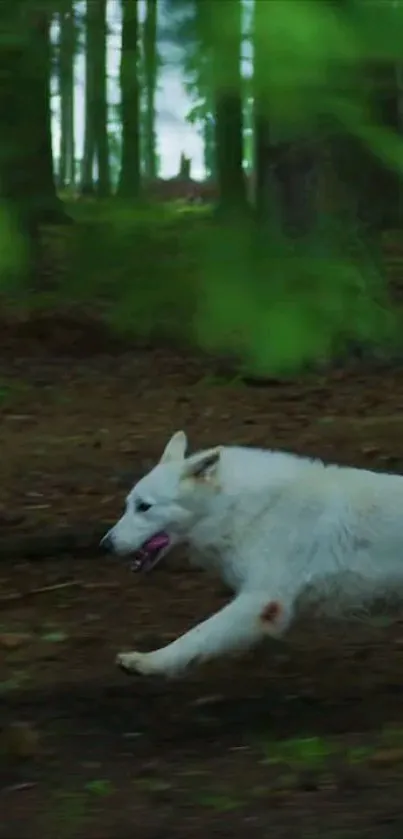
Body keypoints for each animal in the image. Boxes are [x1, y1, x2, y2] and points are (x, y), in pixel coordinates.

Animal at [102, 430, 403, 680]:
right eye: (128, 505)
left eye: (144, 507)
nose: (104, 545)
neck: (235, 508)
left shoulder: (262, 598)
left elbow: (197, 636)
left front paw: (149, 662)